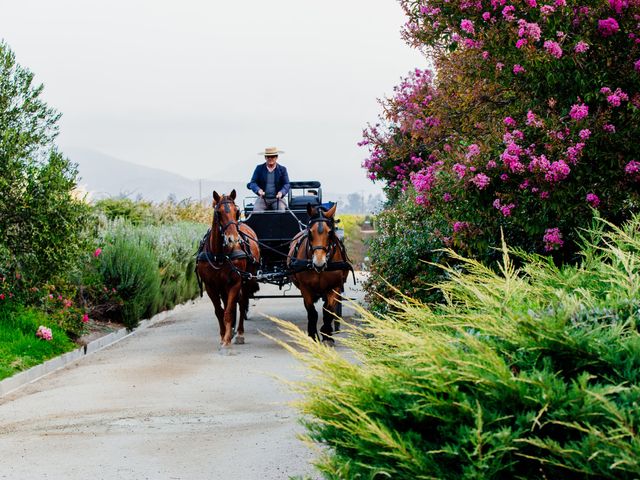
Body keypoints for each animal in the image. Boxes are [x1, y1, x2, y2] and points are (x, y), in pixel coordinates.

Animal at [195, 189, 260, 346]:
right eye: (218, 213)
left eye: (237, 212)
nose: (233, 239)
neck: (218, 255)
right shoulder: (210, 286)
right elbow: (219, 311)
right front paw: (224, 334)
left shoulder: (235, 283)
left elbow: (229, 311)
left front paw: (227, 339)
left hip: (246, 280)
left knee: (242, 303)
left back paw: (240, 332)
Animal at [288, 202, 350, 344]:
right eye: (310, 232)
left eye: (330, 232)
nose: (319, 263)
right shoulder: (305, 288)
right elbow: (312, 313)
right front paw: (313, 335)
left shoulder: (335, 287)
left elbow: (328, 311)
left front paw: (327, 335)